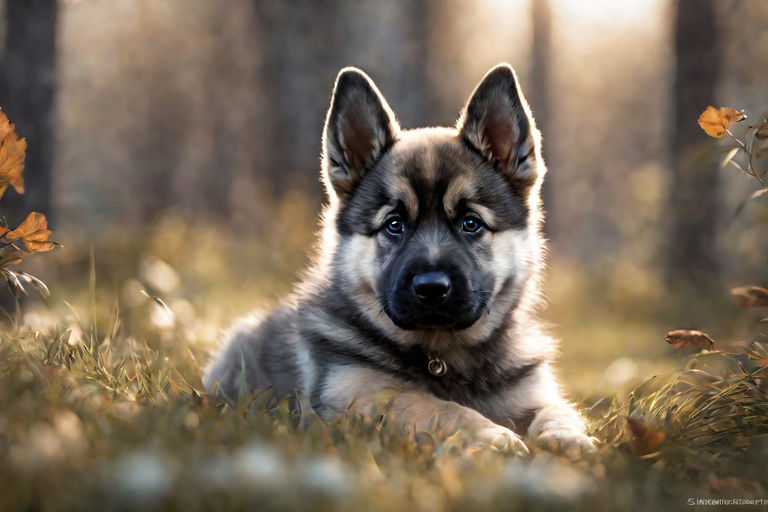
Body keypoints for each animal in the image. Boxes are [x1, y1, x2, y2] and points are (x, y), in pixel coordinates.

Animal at [202, 62, 592, 454]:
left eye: (471, 223)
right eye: (394, 224)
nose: (431, 288)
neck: (444, 356)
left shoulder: (533, 393)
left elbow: (560, 409)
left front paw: (569, 437)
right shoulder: (357, 391)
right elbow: (434, 405)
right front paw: (489, 434)